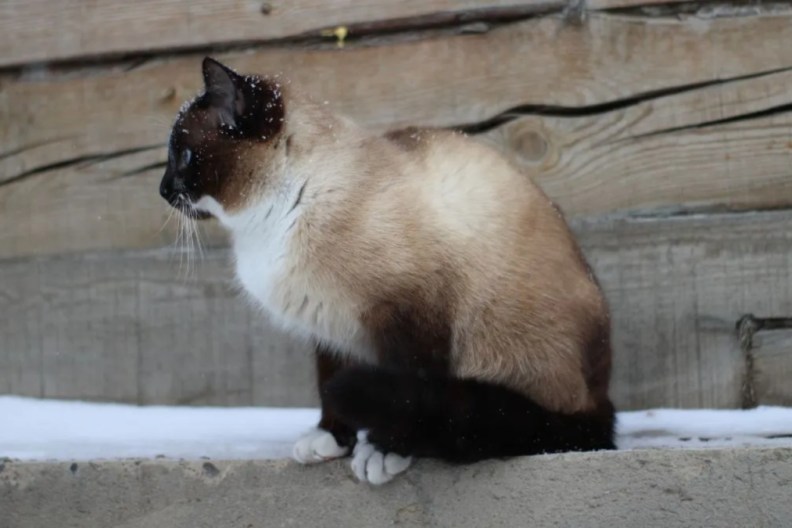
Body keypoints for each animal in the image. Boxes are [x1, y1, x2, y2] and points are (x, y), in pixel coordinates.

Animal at [159, 56, 620, 482]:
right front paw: (331, 440)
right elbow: (330, 385)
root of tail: (601, 397)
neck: (274, 219)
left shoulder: (409, 316)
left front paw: (384, 451)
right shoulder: (330, 329)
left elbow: (405, 393)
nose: (162, 190)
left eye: (184, 155)